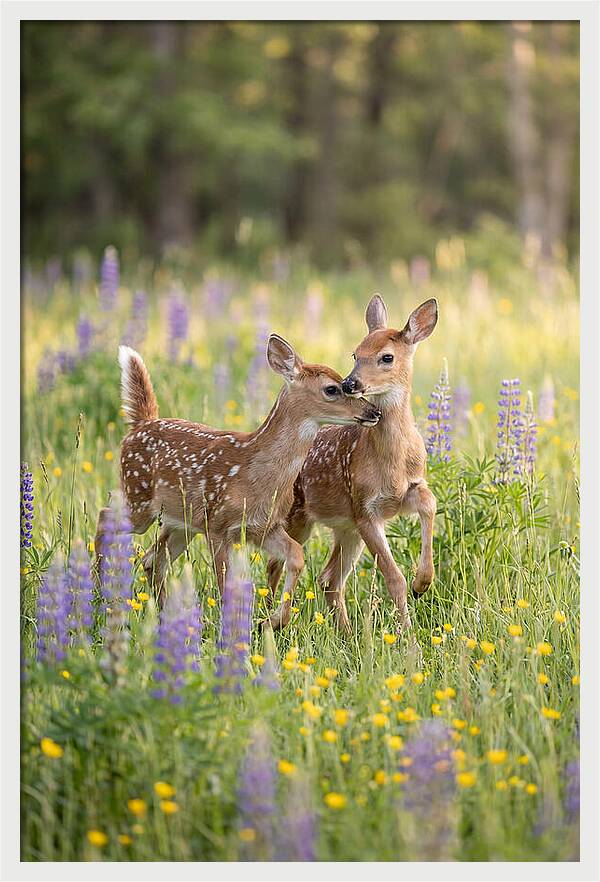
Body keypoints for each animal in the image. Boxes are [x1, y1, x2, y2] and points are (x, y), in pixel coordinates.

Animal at [95, 337, 381, 620]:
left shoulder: (264, 526)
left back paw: (164, 615)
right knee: (106, 516)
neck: (255, 473)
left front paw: (275, 621)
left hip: (182, 523)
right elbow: (226, 585)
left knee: (152, 560)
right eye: (332, 389)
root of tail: (141, 424)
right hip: (139, 498)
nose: (374, 412)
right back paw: (99, 591)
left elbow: (296, 555)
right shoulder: (218, 526)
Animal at [266, 295, 438, 633]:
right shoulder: (364, 508)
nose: (350, 383)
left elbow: (429, 502)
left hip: (345, 529)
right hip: (298, 517)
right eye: (355, 353)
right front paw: (409, 635)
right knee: (275, 566)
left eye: (387, 357)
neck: (393, 462)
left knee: (329, 579)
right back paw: (268, 621)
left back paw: (346, 634)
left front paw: (423, 582)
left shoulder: (405, 492)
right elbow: (393, 578)